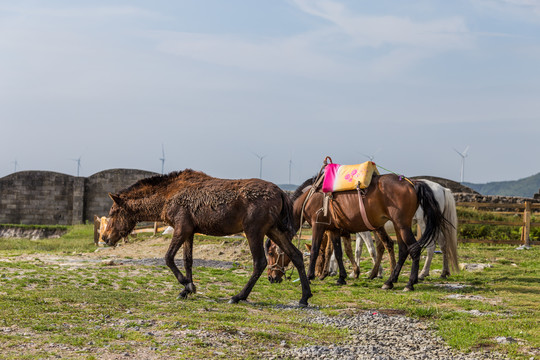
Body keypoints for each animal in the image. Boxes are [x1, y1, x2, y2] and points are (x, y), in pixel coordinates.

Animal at [100, 169, 312, 306]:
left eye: (113, 212)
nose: (105, 238)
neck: (166, 197)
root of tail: (281, 194)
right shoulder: (190, 231)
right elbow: (187, 261)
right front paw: (187, 288)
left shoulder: (181, 228)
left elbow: (168, 258)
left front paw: (186, 285)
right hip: (273, 230)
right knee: (296, 255)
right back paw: (304, 297)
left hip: (254, 231)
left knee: (259, 262)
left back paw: (238, 297)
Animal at [270, 170, 448, 292]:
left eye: (271, 252)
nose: (271, 278)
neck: (311, 195)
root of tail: (411, 183)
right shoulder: (334, 229)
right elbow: (339, 252)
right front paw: (341, 277)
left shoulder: (318, 225)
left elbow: (315, 250)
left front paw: (310, 276)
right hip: (399, 226)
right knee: (403, 250)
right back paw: (390, 281)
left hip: (403, 225)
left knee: (415, 249)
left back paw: (410, 283)